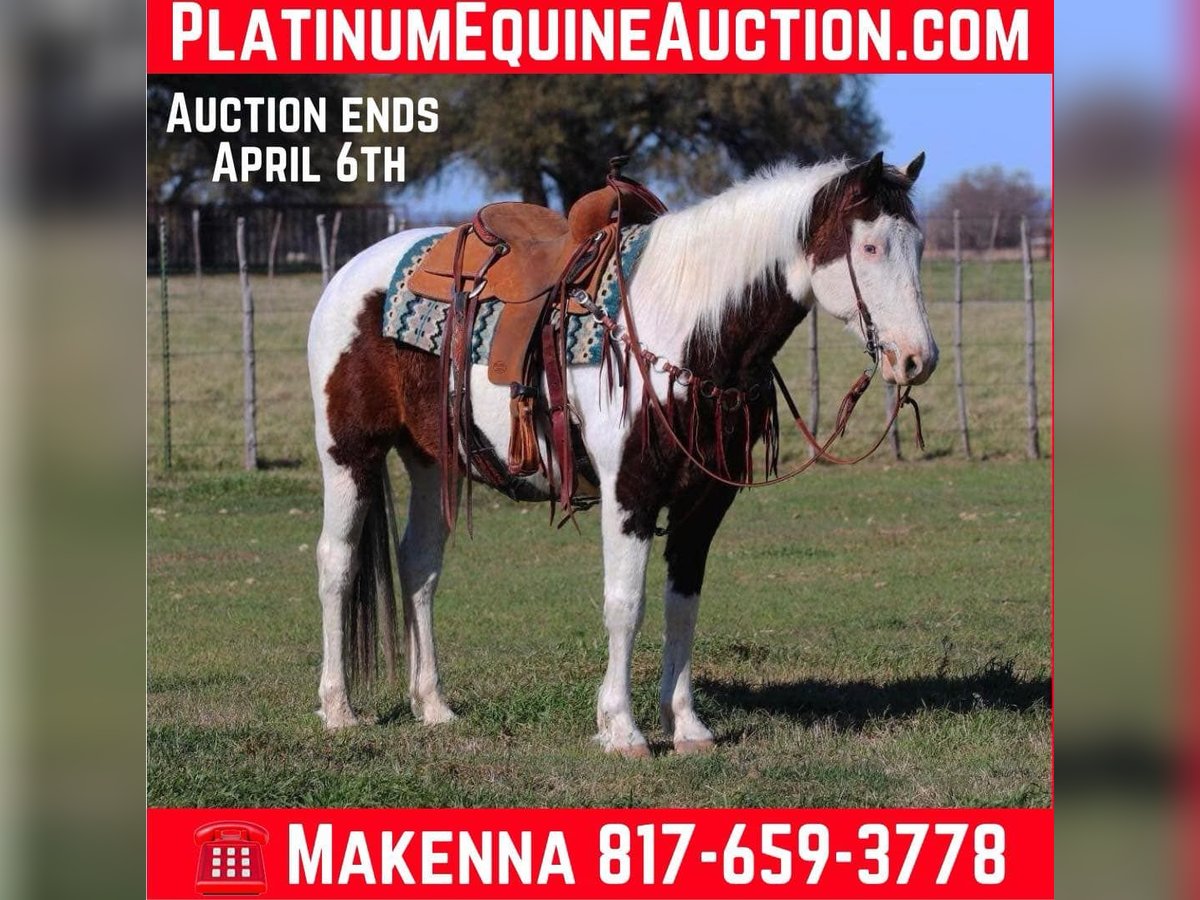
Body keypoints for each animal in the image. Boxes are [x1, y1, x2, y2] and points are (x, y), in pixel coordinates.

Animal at [306, 152, 938, 757]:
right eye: (871, 246)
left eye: (918, 246)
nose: (918, 359)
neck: (686, 326)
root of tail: (349, 275)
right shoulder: (629, 491)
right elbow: (625, 603)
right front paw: (621, 729)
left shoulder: (705, 500)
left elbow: (682, 604)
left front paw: (685, 725)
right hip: (349, 454)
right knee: (337, 563)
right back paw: (338, 710)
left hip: (431, 458)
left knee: (419, 565)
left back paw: (432, 705)